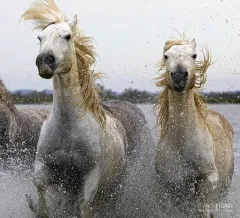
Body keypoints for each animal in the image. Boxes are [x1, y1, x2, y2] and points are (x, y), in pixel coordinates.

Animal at [22, 0, 149, 217]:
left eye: (67, 36)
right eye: (40, 37)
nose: (45, 61)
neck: (68, 126)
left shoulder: (90, 177)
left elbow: (83, 208)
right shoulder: (46, 168)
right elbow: (41, 192)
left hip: (115, 186)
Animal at [154, 38, 234, 217]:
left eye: (194, 55)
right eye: (166, 56)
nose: (178, 76)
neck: (183, 142)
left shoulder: (208, 179)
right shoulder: (171, 186)